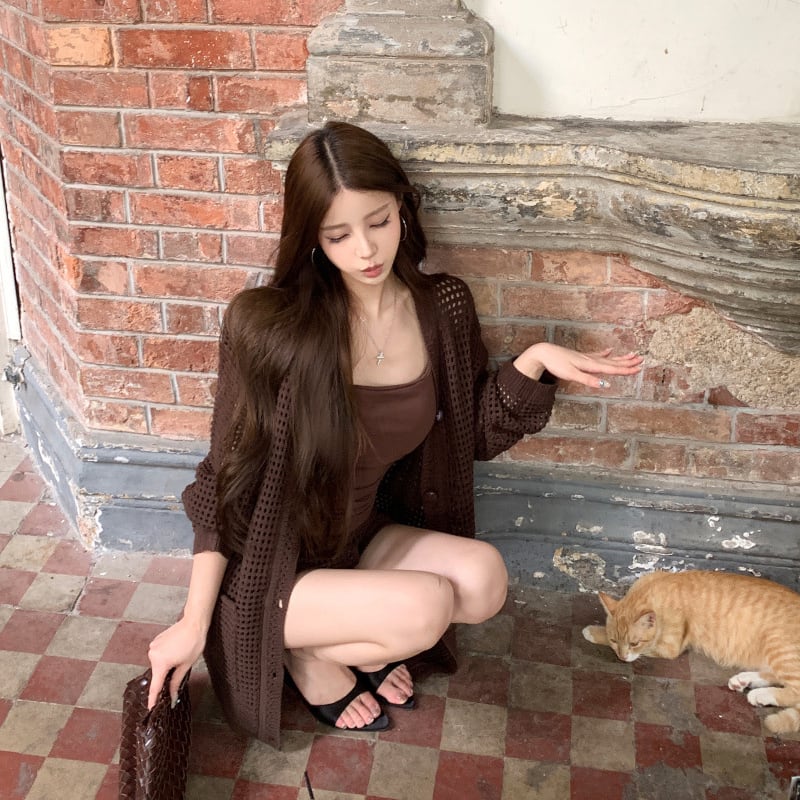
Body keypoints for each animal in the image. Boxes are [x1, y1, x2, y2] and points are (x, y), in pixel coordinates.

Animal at [582, 569, 800, 734]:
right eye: (614, 641)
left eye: (634, 643)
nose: (621, 656)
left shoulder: (669, 647)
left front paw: (593, 632)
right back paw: (745, 681)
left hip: (779, 647)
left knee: (795, 691)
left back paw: (761, 694)